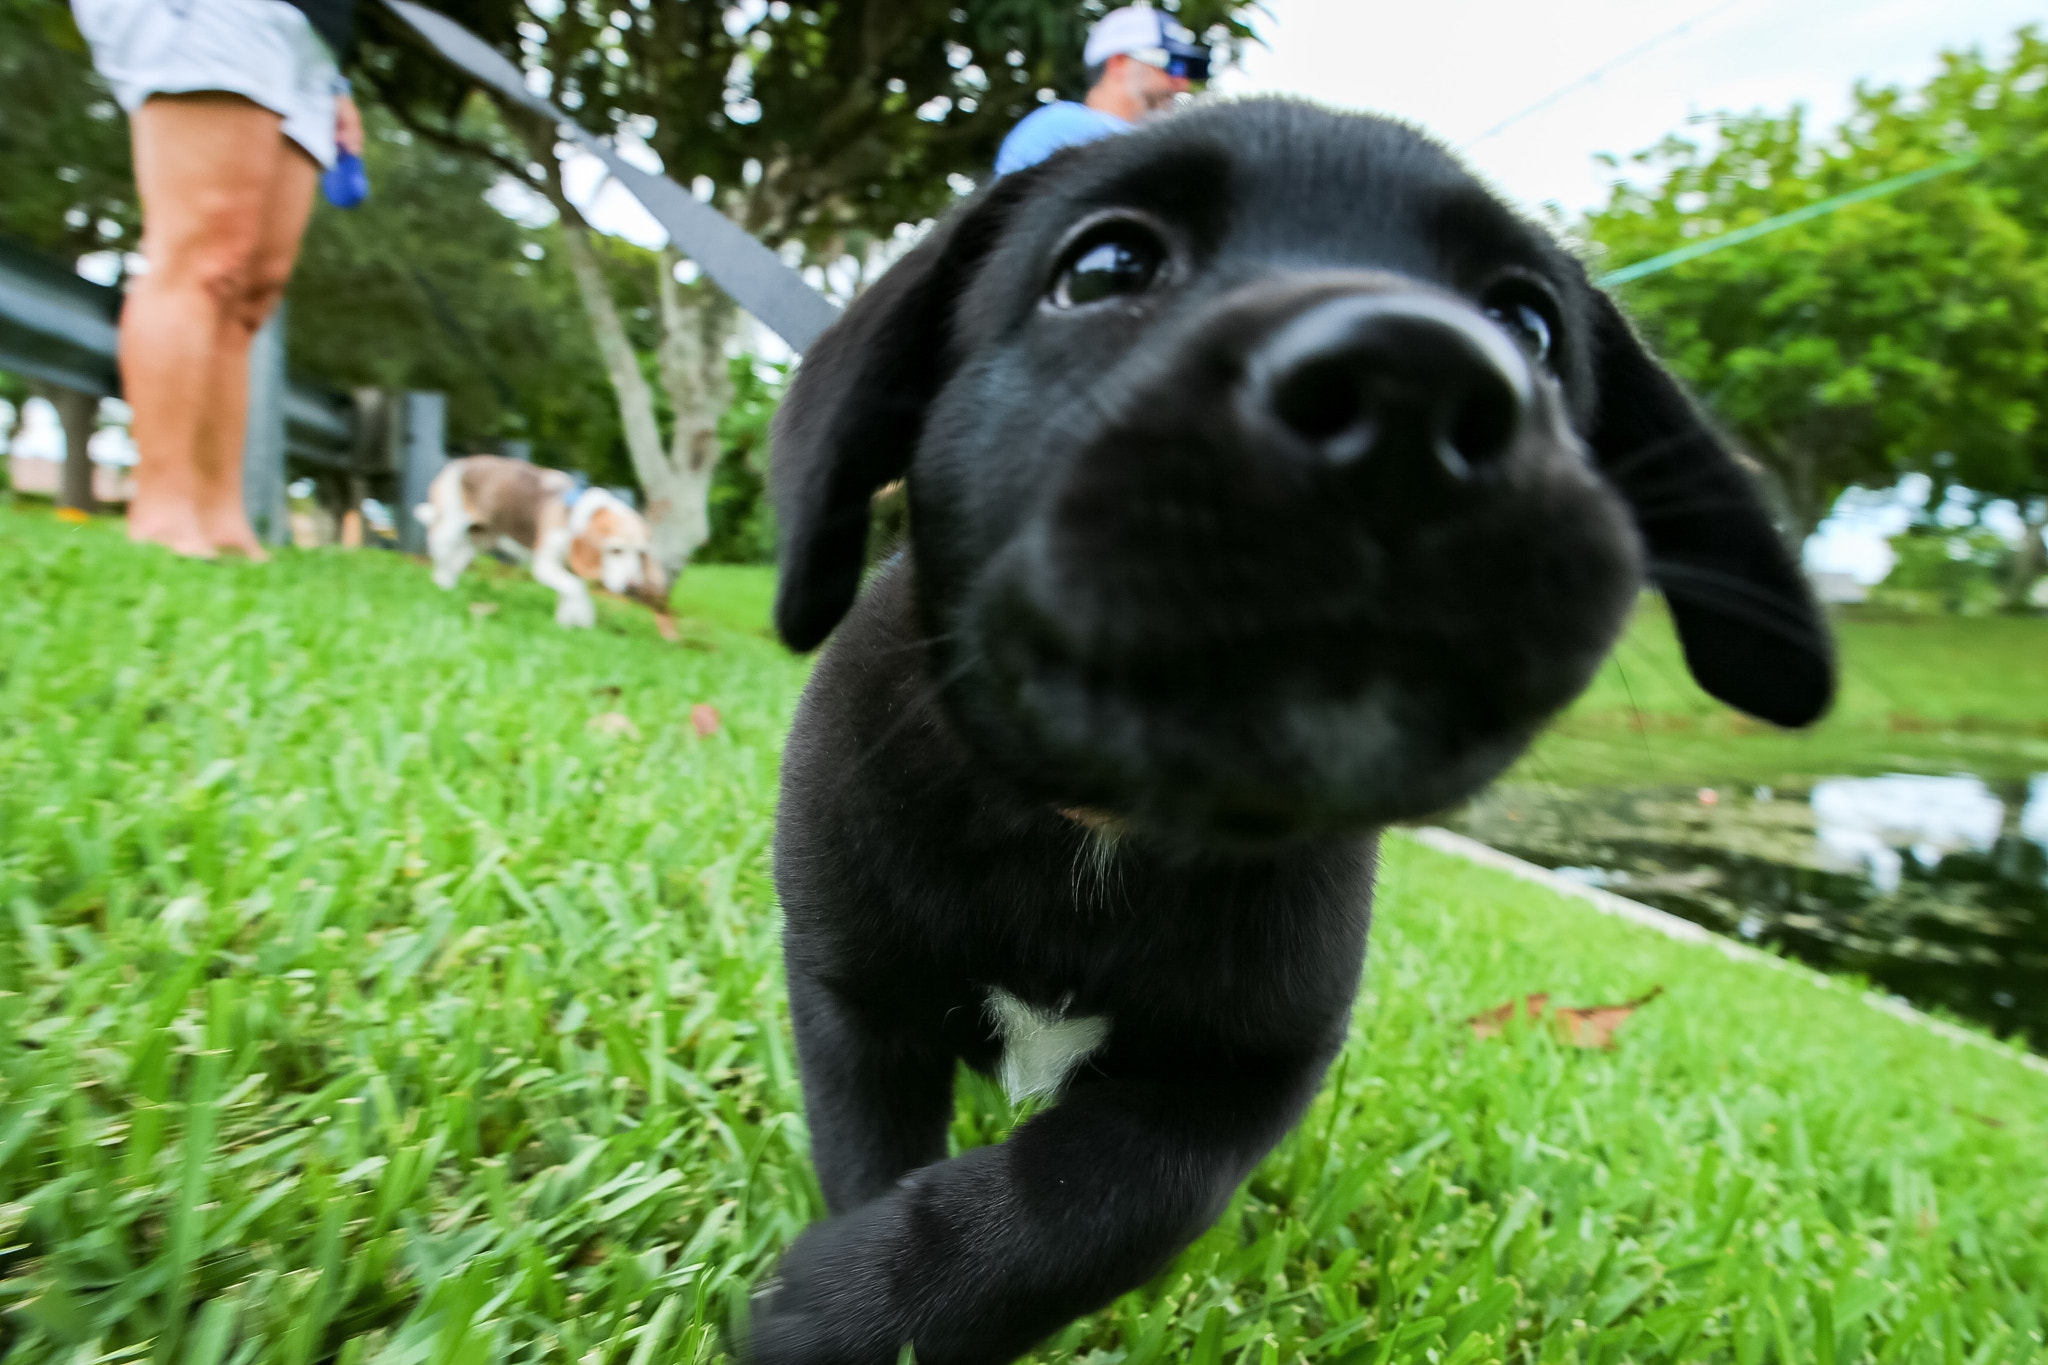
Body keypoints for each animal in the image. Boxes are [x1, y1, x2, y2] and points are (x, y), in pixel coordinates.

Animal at [415, 458, 663, 630]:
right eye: (615, 550)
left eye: (641, 553)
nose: (632, 586)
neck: (575, 517)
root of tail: (456, 464)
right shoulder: (544, 565)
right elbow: (576, 587)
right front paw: (583, 616)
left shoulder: (566, 568)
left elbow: (571, 589)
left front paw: (567, 621)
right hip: (447, 532)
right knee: (440, 562)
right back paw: (441, 587)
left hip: (479, 542)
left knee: (456, 562)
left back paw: (451, 589)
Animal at [749, 98, 1826, 1365]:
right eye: (1103, 267)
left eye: (1527, 325)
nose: (1410, 392)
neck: (1103, 828)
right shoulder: (851, 992)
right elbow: (870, 1153)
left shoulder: (1242, 1073)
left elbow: (1084, 1208)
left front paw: (847, 1306)